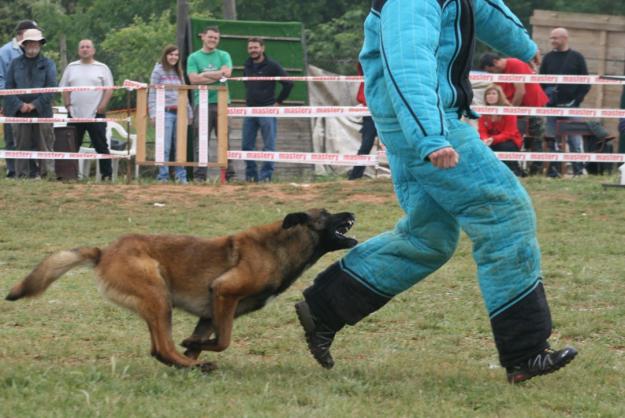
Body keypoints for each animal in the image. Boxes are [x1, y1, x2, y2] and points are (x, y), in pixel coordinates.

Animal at [4, 209, 356, 372]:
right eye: (327, 215)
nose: (351, 214)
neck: (280, 245)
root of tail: (104, 252)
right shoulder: (224, 293)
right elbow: (223, 341)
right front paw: (194, 347)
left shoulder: (211, 313)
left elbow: (208, 340)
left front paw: (193, 349)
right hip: (158, 296)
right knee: (161, 348)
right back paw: (195, 366)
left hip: (157, 301)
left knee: (161, 350)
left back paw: (190, 367)